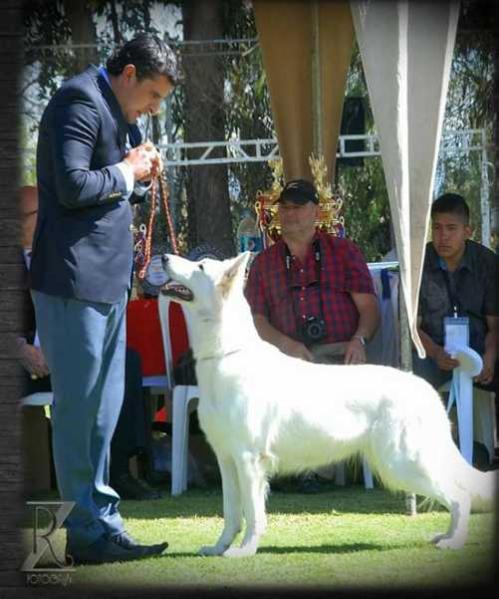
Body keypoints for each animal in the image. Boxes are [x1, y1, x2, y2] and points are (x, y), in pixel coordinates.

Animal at [161, 250, 496, 556]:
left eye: (200, 266)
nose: (163, 257)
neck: (224, 354)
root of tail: (424, 389)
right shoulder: (226, 459)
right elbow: (231, 513)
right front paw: (219, 547)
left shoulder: (248, 460)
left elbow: (253, 514)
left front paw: (245, 550)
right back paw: (446, 537)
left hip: (402, 463)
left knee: (460, 497)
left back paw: (454, 542)